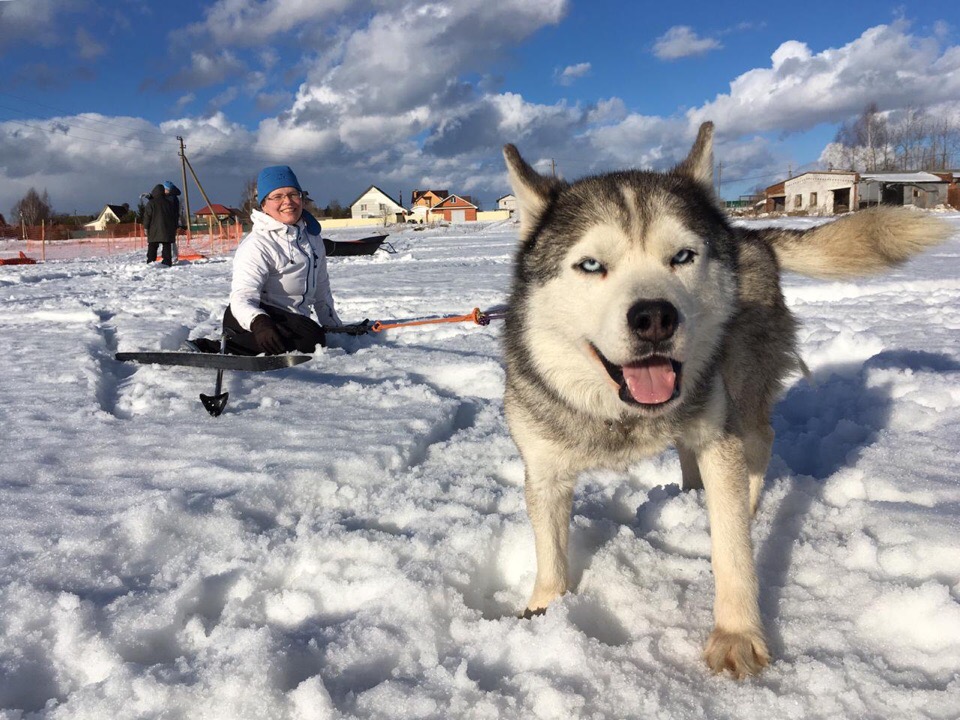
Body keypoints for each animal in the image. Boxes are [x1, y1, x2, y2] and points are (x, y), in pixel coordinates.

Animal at [501, 122, 950, 677]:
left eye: (683, 256)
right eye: (590, 265)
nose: (655, 317)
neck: (621, 415)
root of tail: (745, 236)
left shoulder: (721, 441)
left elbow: (733, 550)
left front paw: (737, 634)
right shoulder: (544, 470)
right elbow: (552, 552)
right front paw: (544, 610)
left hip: (743, 389)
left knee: (759, 441)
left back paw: (744, 504)